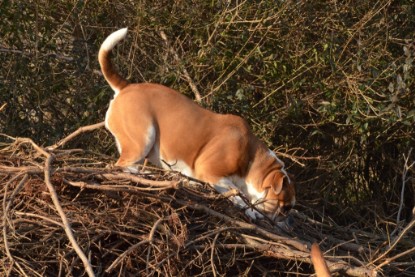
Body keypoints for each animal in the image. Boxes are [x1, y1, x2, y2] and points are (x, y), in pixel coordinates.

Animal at [99, 27, 298, 222]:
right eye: (285, 207)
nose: (286, 219)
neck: (252, 158)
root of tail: (127, 87)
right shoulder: (210, 171)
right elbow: (236, 192)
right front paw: (250, 209)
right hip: (143, 138)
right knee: (121, 165)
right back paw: (147, 175)